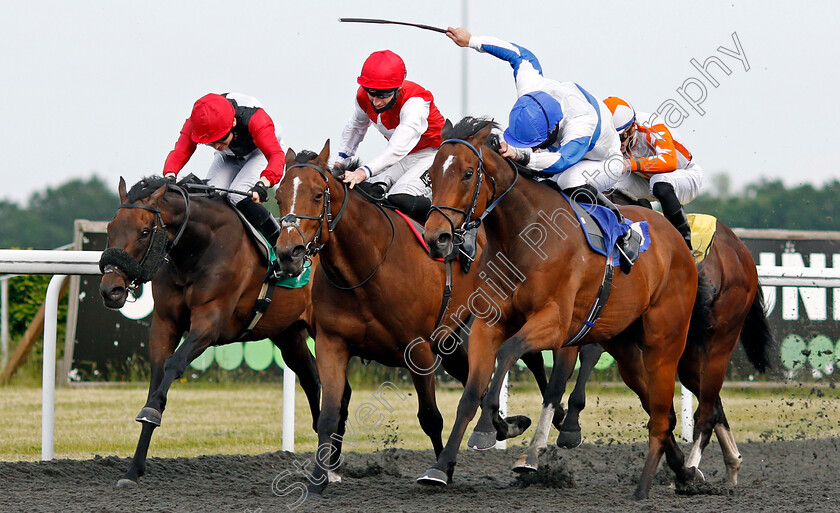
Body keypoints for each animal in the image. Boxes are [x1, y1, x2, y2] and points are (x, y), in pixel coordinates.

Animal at [99, 178, 322, 486]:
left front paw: (152, 411)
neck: (199, 248)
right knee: (311, 377)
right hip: (288, 335)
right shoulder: (165, 322)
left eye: (144, 232)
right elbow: (157, 376)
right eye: (110, 229)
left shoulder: (210, 321)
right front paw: (133, 469)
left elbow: (174, 364)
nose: (111, 290)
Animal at [270, 142, 544, 494]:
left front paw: (442, 471)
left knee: (531, 360)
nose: (288, 253)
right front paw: (319, 478)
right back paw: (507, 426)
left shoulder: (419, 350)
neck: (367, 267)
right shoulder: (332, 344)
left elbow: (430, 416)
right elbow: (329, 413)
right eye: (279, 196)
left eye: (318, 195)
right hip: (450, 340)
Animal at [420, 118, 708, 498]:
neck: (525, 235)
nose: (436, 237)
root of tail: (677, 241)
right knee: (655, 405)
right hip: (625, 344)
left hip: (665, 338)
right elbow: (471, 392)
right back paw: (682, 470)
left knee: (659, 404)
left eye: (468, 173)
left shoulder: (555, 323)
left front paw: (491, 426)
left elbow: (511, 354)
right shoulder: (488, 323)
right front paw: (442, 467)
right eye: (431, 175)